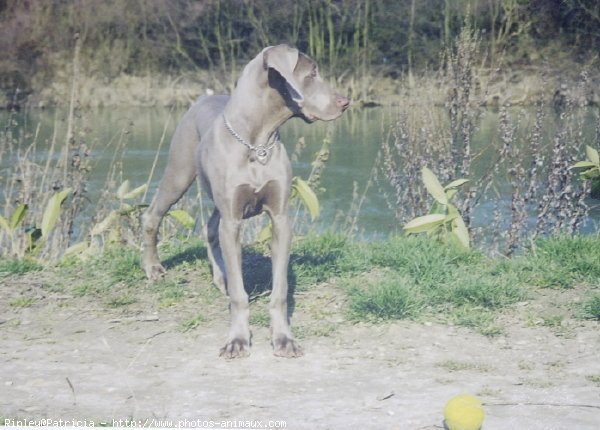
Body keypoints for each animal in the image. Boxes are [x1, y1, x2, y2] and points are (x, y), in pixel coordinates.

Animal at [142, 44, 346, 360]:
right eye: (312, 73)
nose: (345, 101)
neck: (257, 142)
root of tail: (202, 97)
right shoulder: (233, 219)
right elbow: (240, 295)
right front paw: (237, 340)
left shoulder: (280, 218)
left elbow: (280, 289)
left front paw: (284, 339)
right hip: (179, 172)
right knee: (153, 215)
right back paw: (153, 269)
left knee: (210, 228)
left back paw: (220, 277)